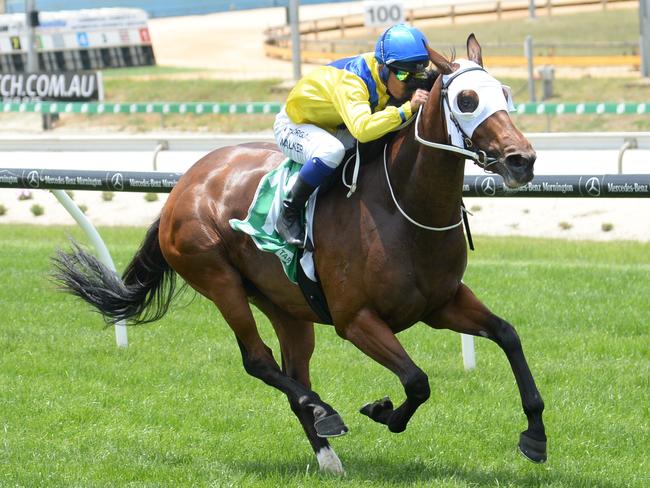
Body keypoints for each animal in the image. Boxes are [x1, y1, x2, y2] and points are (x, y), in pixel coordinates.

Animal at [53, 36, 544, 474]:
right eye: (466, 99)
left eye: (504, 92)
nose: (522, 160)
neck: (401, 207)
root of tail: (183, 186)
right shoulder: (355, 319)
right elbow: (416, 382)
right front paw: (383, 411)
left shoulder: (442, 303)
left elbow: (508, 335)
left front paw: (535, 436)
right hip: (218, 279)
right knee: (260, 361)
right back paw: (326, 412)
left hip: (286, 306)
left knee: (294, 371)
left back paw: (328, 456)